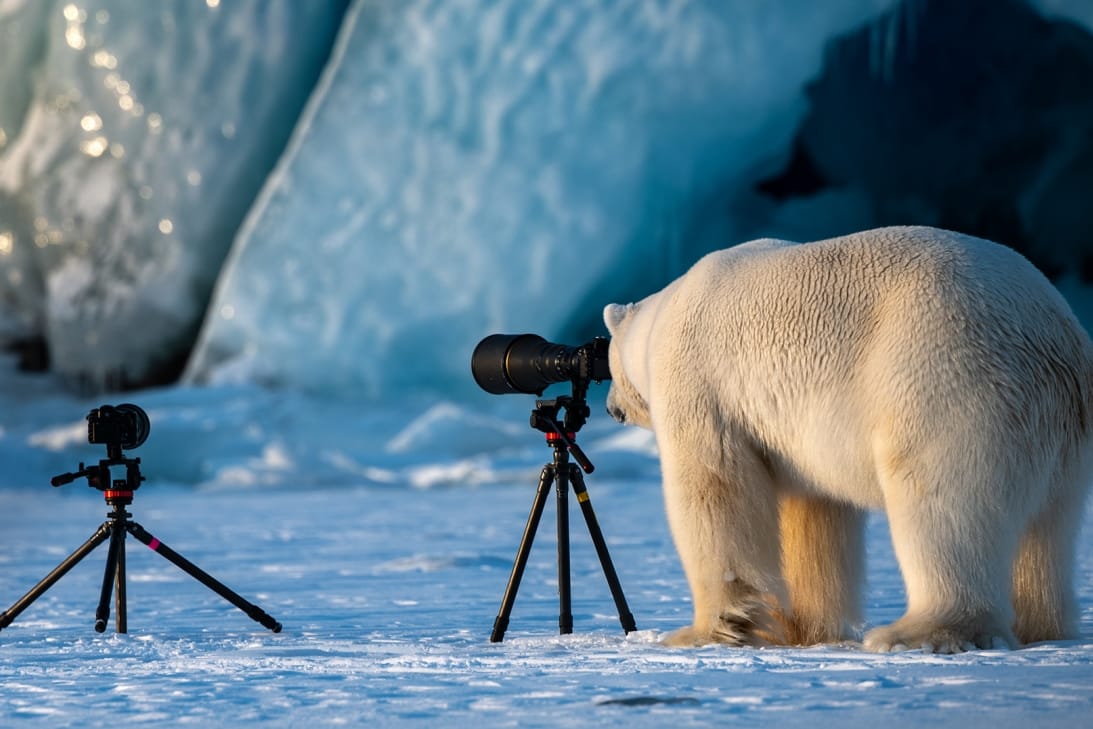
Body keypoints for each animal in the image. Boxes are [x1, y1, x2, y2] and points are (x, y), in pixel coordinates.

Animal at [607, 225, 1093, 651]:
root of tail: (1054, 335)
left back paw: (916, 633)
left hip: (948, 380)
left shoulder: (700, 384)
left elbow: (715, 489)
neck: (661, 317)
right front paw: (803, 630)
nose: (611, 408)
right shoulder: (797, 435)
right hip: (1059, 434)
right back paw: (1042, 628)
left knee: (942, 504)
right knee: (1048, 529)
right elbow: (814, 515)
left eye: (607, 364)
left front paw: (708, 631)